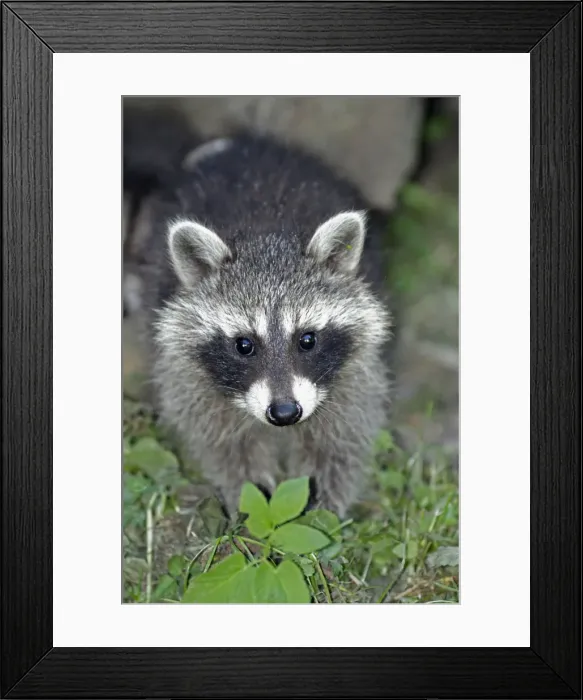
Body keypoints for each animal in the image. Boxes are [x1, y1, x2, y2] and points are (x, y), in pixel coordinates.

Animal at [133, 131, 393, 517]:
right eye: (244, 345)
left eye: (307, 339)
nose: (285, 413)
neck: (266, 239)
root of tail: (242, 143)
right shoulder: (190, 375)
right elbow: (221, 441)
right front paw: (248, 494)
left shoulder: (354, 373)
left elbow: (340, 438)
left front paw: (323, 507)